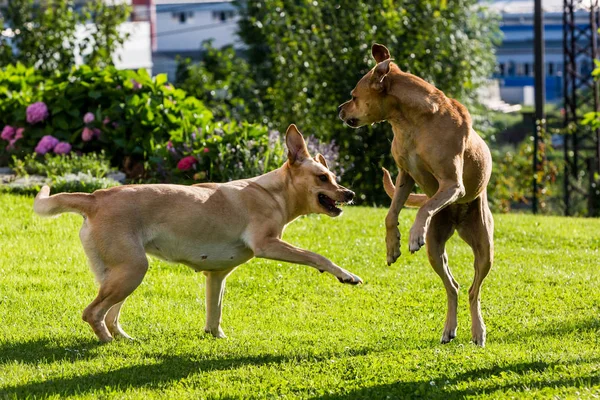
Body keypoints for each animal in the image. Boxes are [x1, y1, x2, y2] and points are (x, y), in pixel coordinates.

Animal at [35, 124, 364, 340]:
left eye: (335, 176)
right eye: (323, 177)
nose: (350, 194)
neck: (272, 192)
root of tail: (95, 196)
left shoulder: (216, 277)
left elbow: (214, 312)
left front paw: (216, 337)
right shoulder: (268, 244)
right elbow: (316, 256)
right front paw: (345, 275)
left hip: (119, 275)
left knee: (110, 314)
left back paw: (124, 339)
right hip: (132, 270)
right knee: (92, 313)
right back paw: (107, 343)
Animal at [340, 42, 494, 346]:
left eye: (353, 96)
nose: (339, 109)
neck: (411, 121)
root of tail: (457, 220)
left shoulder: (452, 184)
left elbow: (425, 207)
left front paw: (412, 236)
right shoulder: (405, 176)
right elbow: (390, 215)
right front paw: (393, 246)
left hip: (484, 247)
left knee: (474, 289)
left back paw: (478, 331)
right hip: (436, 248)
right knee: (453, 286)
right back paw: (449, 329)